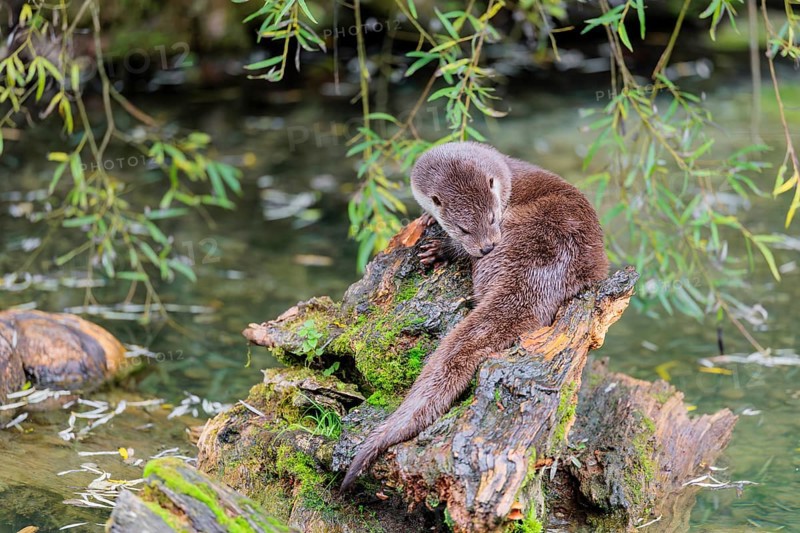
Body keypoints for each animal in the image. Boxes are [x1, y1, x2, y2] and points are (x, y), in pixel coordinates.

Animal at [341, 142, 609, 490]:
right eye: (463, 227)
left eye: (493, 217)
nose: (487, 246)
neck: (510, 177)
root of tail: (544, 272)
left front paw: (439, 248)